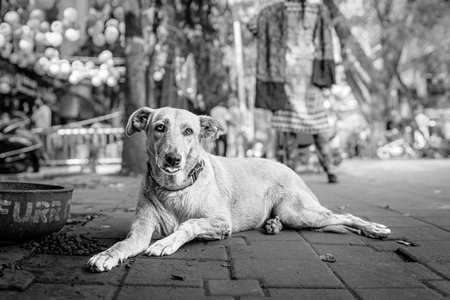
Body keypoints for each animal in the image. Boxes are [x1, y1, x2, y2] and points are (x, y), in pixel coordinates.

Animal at [88, 106, 390, 272]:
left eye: (189, 131)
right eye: (159, 127)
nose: (173, 159)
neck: (176, 190)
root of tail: (289, 167)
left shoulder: (222, 223)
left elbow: (189, 224)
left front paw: (165, 242)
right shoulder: (140, 231)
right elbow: (123, 244)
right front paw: (106, 255)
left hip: (298, 211)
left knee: (344, 216)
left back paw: (374, 228)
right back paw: (273, 225)